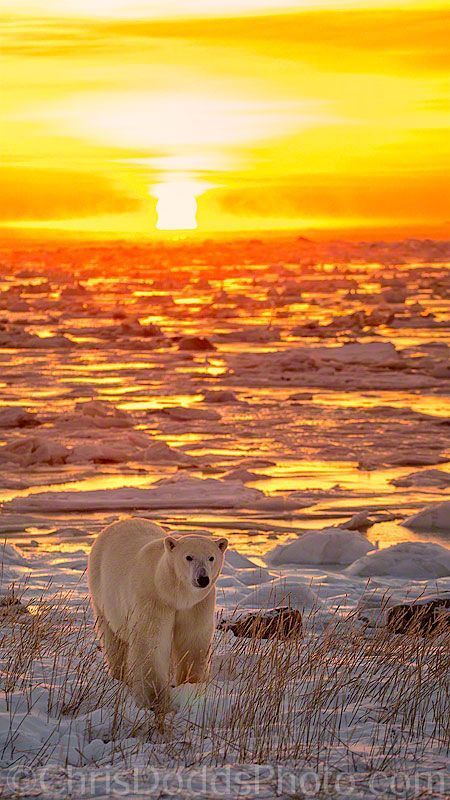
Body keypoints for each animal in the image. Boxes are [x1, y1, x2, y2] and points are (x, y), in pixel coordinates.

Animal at [87, 516, 229, 708]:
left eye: (211, 557)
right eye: (188, 557)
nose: (202, 578)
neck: (172, 592)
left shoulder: (196, 605)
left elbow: (192, 640)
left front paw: (192, 684)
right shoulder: (153, 599)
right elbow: (151, 642)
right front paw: (153, 698)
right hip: (102, 594)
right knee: (113, 639)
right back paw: (119, 676)